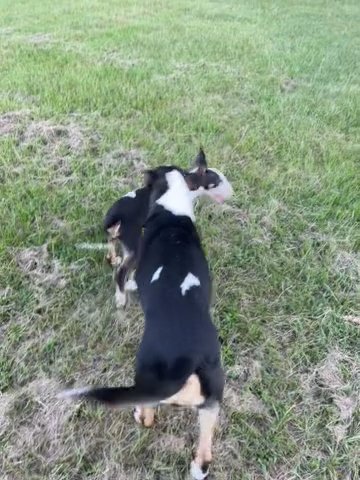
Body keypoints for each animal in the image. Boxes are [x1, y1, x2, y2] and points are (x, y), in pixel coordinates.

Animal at [62, 166, 225, 480]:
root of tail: (191, 362)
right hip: (211, 405)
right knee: (205, 454)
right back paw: (197, 468)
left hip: (146, 381)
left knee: (147, 413)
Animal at [104, 150, 233, 308]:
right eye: (217, 183)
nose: (232, 192)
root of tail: (115, 217)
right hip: (135, 245)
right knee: (121, 272)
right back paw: (121, 298)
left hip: (118, 237)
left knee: (111, 245)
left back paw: (114, 259)